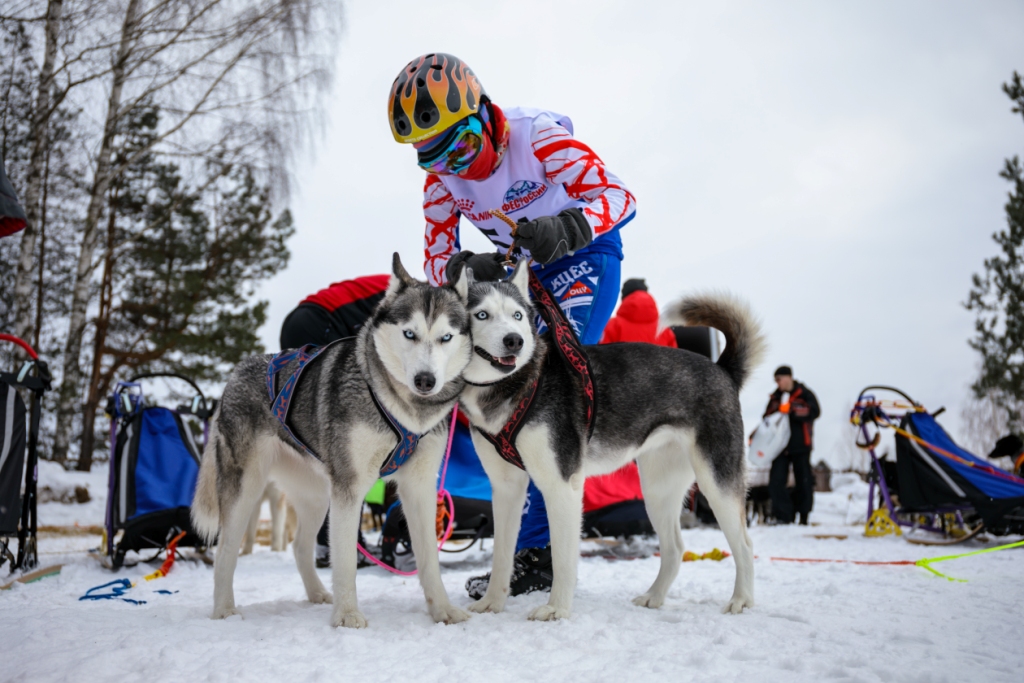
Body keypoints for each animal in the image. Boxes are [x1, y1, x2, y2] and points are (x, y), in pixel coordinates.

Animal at [192, 255, 471, 630]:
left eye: (446, 337)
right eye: (409, 333)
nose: (425, 380)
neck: (403, 408)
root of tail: (234, 376)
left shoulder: (419, 486)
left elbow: (429, 559)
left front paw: (442, 610)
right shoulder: (350, 488)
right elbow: (346, 561)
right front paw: (347, 615)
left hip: (315, 495)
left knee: (299, 547)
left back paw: (316, 594)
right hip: (246, 490)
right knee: (225, 552)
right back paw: (224, 610)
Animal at [460, 260, 765, 618]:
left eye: (517, 315)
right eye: (482, 314)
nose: (514, 341)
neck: (516, 384)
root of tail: (722, 370)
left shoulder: (561, 485)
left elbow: (563, 558)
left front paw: (557, 609)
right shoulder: (507, 488)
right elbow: (501, 555)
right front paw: (492, 602)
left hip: (716, 482)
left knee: (744, 544)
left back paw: (741, 599)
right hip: (657, 490)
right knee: (675, 548)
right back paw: (654, 596)